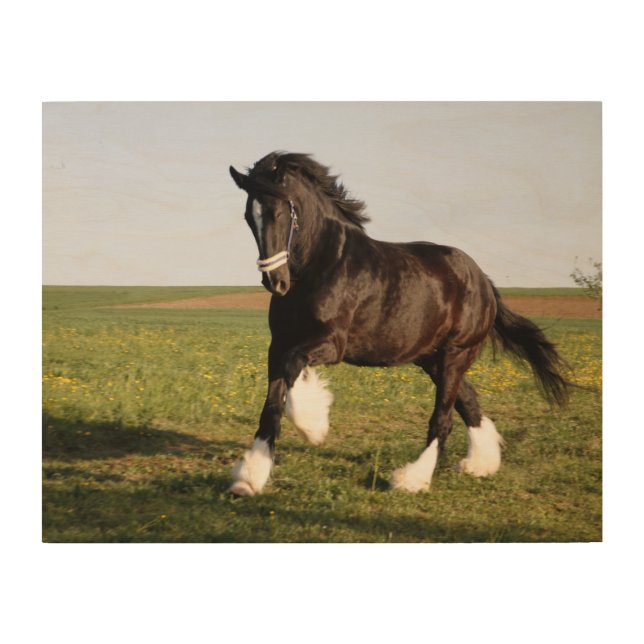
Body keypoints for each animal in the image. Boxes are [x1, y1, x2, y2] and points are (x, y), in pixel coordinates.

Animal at [228, 151, 569, 496]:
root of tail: (483, 281)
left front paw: (315, 427)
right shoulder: (278, 344)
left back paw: (412, 479)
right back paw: (480, 464)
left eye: (279, 212)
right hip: (432, 359)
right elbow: (271, 406)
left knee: (443, 418)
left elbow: (292, 370)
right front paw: (248, 479)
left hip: (456, 354)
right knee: (468, 402)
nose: (275, 282)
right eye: (249, 216)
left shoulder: (331, 343)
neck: (321, 264)